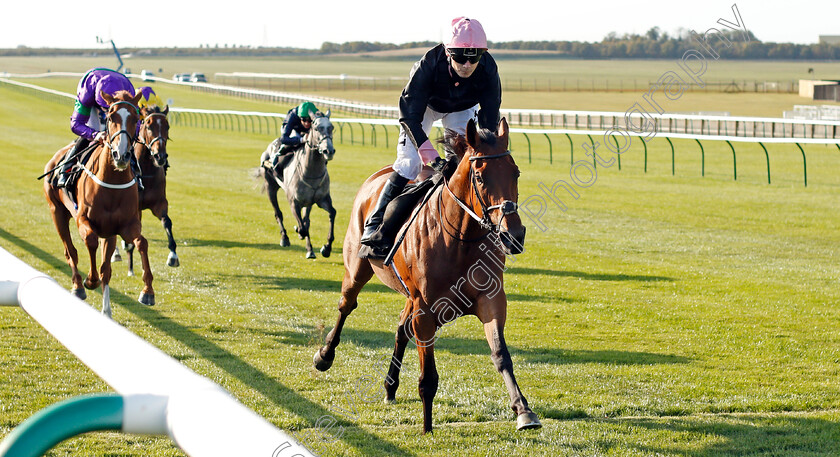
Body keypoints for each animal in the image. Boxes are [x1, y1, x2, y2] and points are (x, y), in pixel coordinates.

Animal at [43, 90, 154, 318]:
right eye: (111, 117)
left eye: (136, 118)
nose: (121, 154)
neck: (112, 182)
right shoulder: (82, 219)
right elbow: (90, 241)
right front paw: (89, 280)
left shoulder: (124, 226)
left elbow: (141, 243)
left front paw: (147, 291)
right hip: (56, 212)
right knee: (70, 251)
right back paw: (78, 286)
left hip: (109, 233)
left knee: (106, 267)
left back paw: (107, 311)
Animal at [118, 104, 179, 272]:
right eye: (148, 125)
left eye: (167, 126)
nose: (160, 156)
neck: (145, 171)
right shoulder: (135, 207)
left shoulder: (159, 203)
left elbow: (167, 222)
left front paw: (173, 256)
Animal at [312, 116, 540, 432]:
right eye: (480, 177)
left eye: (515, 173)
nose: (513, 235)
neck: (459, 240)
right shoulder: (426, 309)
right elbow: (428, 375)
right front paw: (427, 426)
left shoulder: (491, 299)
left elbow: (501, 355)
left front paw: (523, 410)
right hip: (356, 269)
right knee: (347, 305)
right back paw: (325, 356)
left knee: (400, 327)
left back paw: (390, 386)